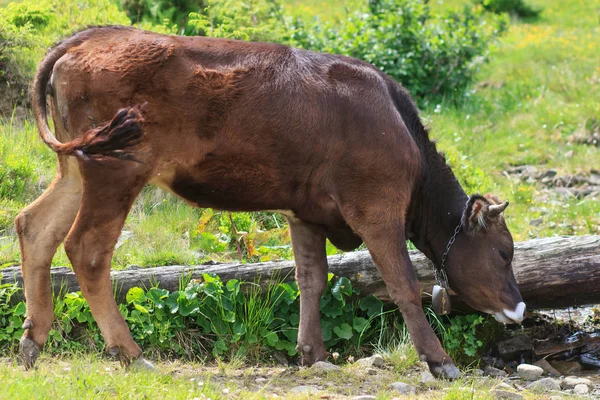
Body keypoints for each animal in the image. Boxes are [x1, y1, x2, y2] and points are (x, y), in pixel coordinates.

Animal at [17, 25, 524, 378]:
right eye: (504, 252)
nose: (519, 309)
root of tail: (91, 35)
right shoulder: (377, 209)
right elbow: (402, 283)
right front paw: (439, 361)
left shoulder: (305, 212)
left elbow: (312, 279)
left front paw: (313, 353)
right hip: (116, 169)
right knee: (87, 249)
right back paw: (129, 352)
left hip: (77, 166)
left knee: (33, 227)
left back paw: (32, 342)